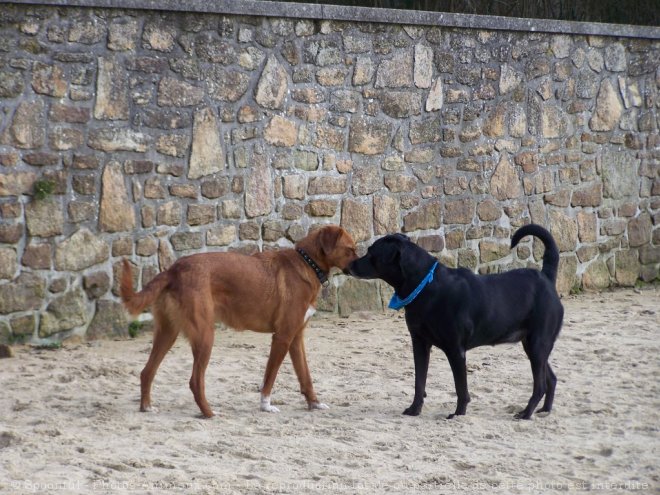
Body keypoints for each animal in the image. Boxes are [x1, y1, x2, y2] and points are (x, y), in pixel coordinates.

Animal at [118, 226, 356, 418]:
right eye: (350, 249)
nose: (360, 264)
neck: (307, 262)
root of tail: (173, 269)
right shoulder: (282, 337)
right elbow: (269, 377)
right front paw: (265, 406)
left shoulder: (296, 338)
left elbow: (306, 377)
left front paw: (314, 403)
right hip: (205, 336)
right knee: (195, 381)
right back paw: (209, 413)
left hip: (167, 334)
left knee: (147, 372)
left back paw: (147, 407)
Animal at [348, 227, 564, 420]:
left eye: (371, 252)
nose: (350, 264)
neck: (425, 285)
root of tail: (546, 278)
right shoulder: (419, 343)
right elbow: (419, 381)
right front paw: (415, 409)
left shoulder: (455, 350)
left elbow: (461, 388)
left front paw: (458, 414)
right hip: (533, 345)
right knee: (551, 379)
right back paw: (544, 410)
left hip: (537, 343)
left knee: (540, 385)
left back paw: (526, 413)